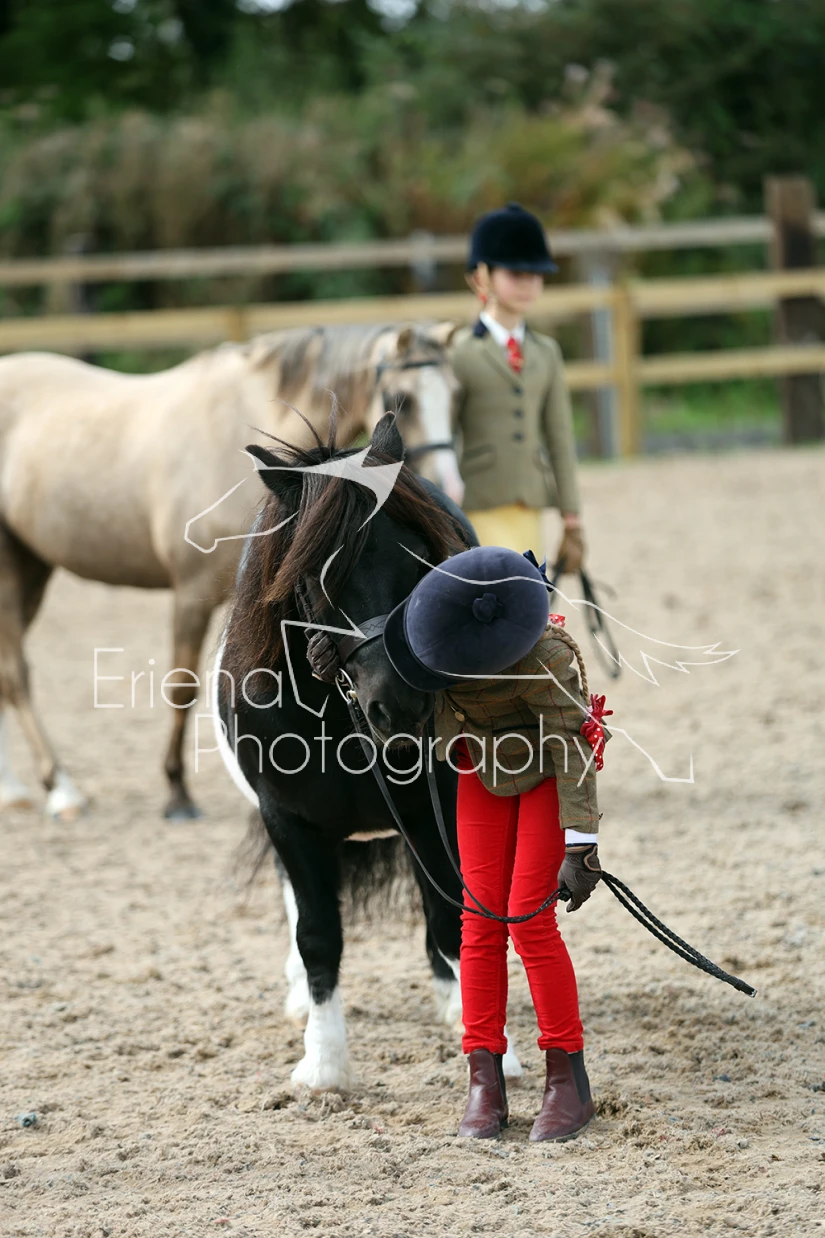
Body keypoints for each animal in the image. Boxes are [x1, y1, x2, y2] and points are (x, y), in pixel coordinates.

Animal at [0, 321, 462, 819]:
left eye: (454, 391)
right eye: (402, 397)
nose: (448, 485)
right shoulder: (191, 593)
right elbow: (182, 686)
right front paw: (178, 792)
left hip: (32, 571)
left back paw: (14, 790)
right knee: (16, 675)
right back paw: (61, 788)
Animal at [213, 411, 523, 1091]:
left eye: (422, 563)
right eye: (316, 576)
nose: (400, 705)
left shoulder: (433, 809)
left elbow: (453, 919)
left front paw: (491, 1045)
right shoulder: (287, 820)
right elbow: (318, 935)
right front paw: (324, 1065)